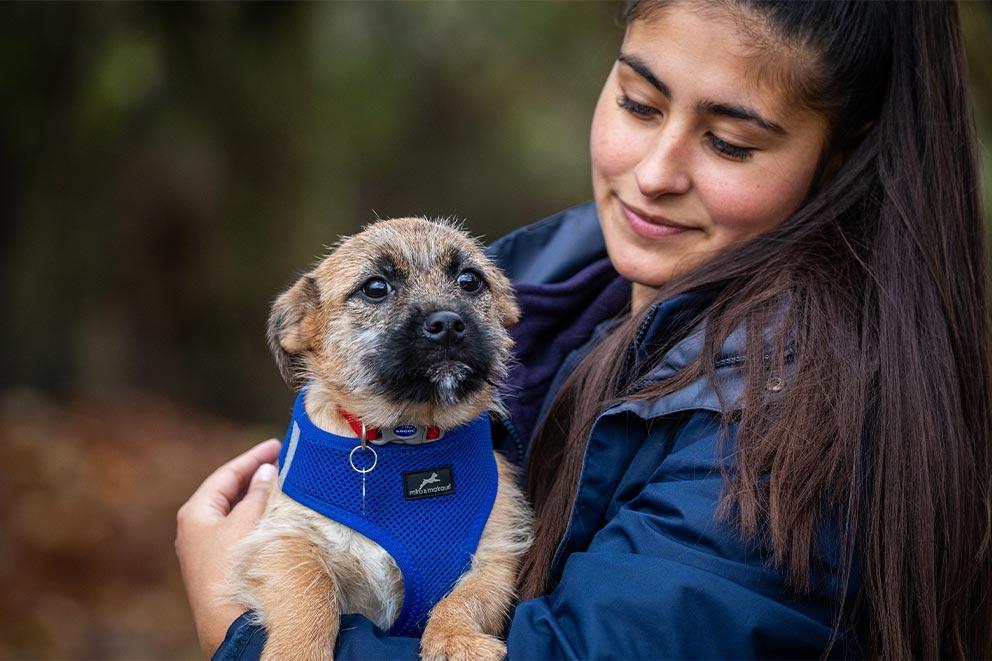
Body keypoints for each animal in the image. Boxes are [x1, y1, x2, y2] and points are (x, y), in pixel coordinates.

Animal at [227, 218, 536, 660]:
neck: (407, 436)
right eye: (375, 287)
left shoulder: (495, 553)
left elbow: (466, 599)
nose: (447, 323)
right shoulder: (284, 540)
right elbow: (311, 592)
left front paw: (455, 639)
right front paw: (298, 651)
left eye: (470, 280)